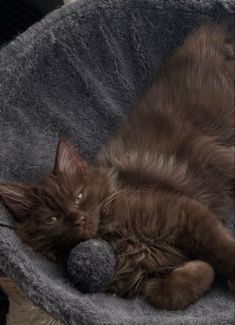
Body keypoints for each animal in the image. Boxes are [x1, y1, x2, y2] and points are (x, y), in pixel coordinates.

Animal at [0, 25, 235, 308]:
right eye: (52, 219)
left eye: (78, 196)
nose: (79, 220)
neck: (116, 236)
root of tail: (209, 36)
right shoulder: (143, 275)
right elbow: (166, 293)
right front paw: (202, 270)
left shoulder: (185, 211)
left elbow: (220, 246)